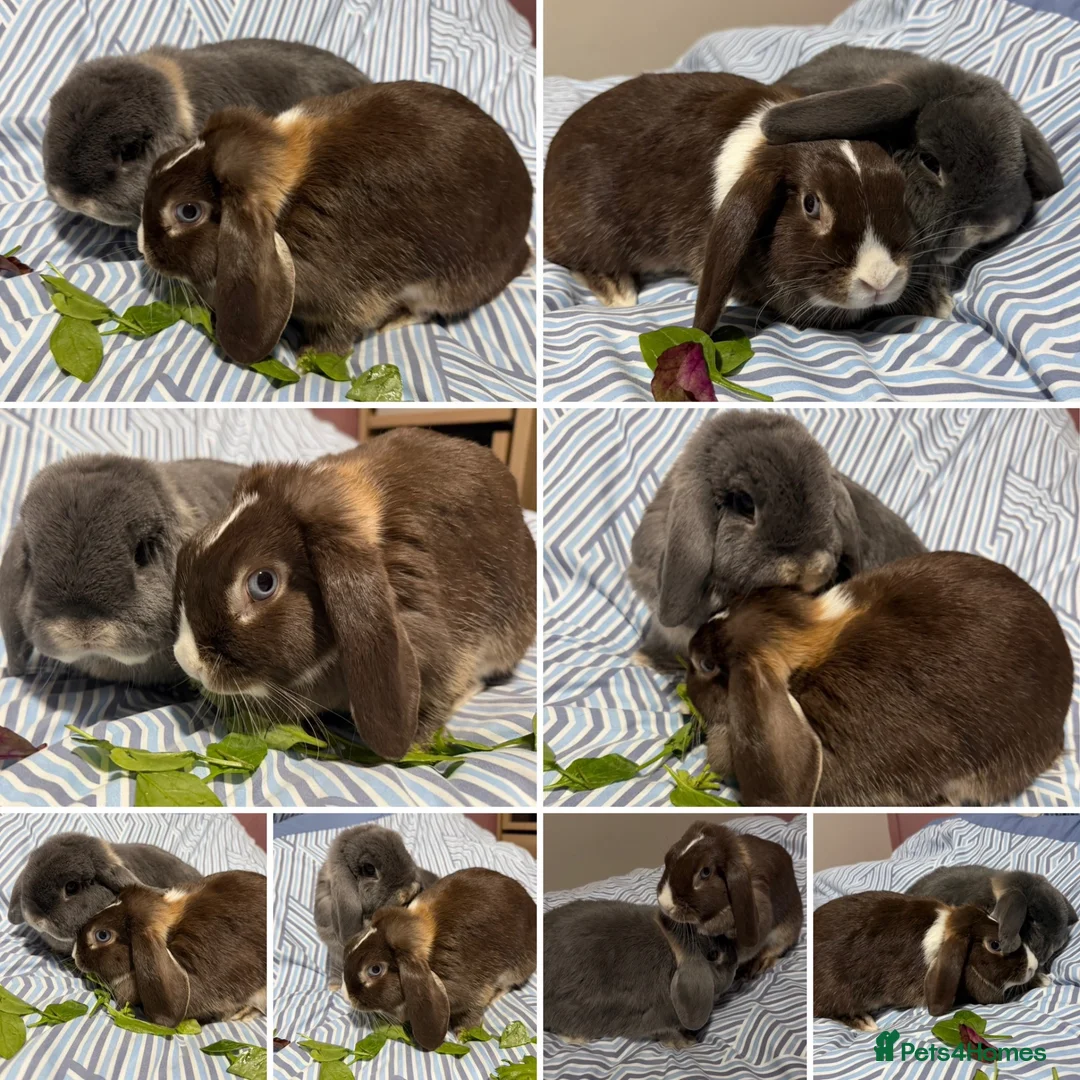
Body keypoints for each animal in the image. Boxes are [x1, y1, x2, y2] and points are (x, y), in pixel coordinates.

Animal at [137, 81, 533, 366]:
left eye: (188, 212)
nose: (142, 246)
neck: (286, 206)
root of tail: (521, 251)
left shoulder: (357, 292)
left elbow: (344, 329)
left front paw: (310, 358)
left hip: (444, 285)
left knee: (426, 311)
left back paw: (394, 321)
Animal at [342, 867, 536, 1051]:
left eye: (375, 970)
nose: (347, 996)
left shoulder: (475, 992)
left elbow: (472, 1013)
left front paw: (463, 1035)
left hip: (517, 967)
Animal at [657, 821, 802, 978]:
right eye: (668, 856)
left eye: (705, 872)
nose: (665, 904)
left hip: (786, 929)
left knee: (775, 948)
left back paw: (758, 966)